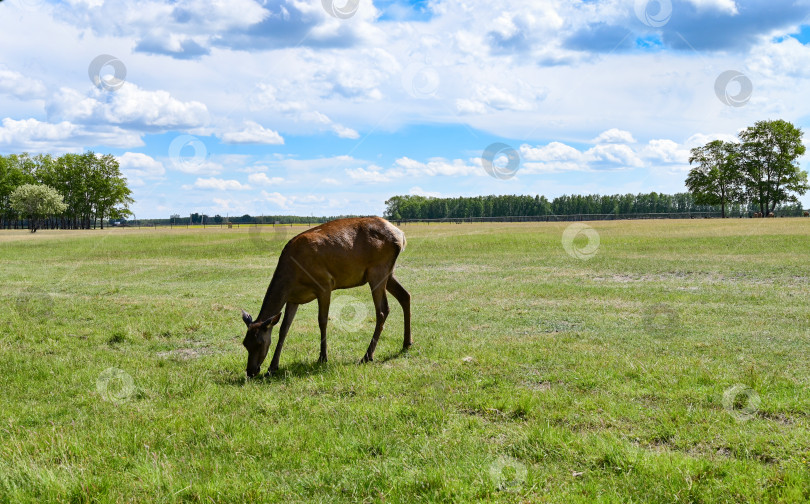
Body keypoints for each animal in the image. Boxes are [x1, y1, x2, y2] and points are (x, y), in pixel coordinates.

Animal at [237, 217, 408, 378]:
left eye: (260, 343)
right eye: (245, 343)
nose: (251, 371)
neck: (292, 276)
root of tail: (401, 236)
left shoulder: (325, 284)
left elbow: (322, 321)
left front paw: (323, 358)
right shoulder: (293, 298)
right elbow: (284, 328)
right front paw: (272, 367)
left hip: (377, 270)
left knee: (383, 310)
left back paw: (367, 356)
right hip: (388, 273)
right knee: (405, 295)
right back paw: (406, 344)